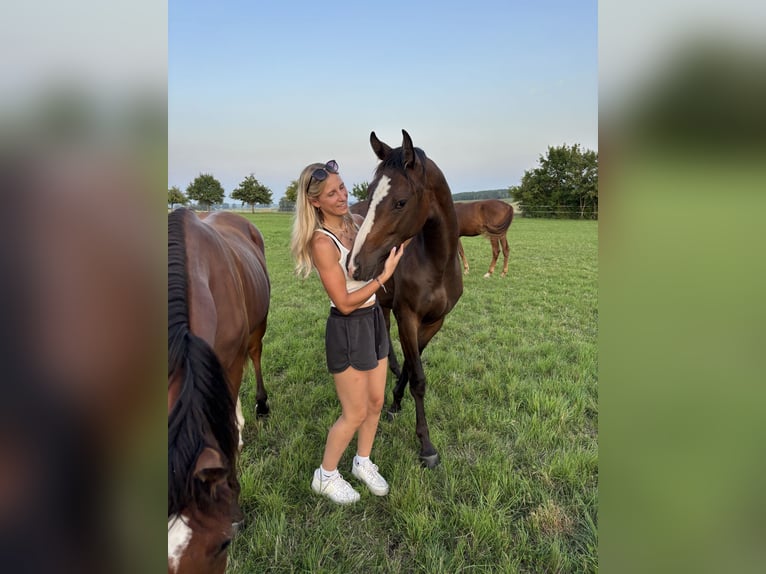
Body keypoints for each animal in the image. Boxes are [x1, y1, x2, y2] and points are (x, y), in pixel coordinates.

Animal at [348, 130, 463, 468]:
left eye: (401, 202)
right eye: (371, 193)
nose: (355, 265)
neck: (436, 263)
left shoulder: (434, 322)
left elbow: (415, 369)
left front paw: (396, 403)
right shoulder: (407, 316)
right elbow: (419, 378)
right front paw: (426, 445)